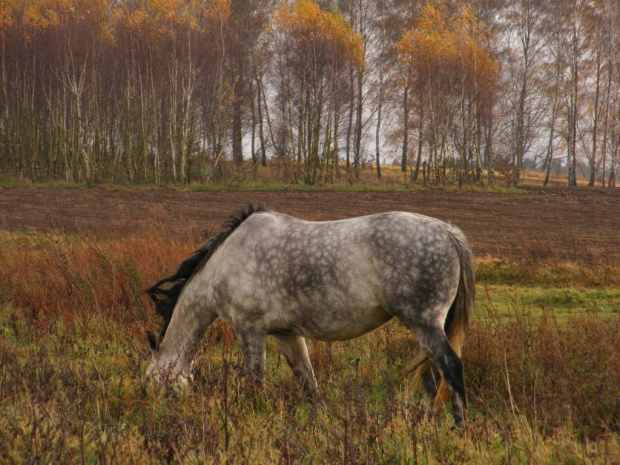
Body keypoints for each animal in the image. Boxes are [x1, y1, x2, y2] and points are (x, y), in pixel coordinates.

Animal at [145, 204, 474, 428]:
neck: (224, 263)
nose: (156, 414)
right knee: (432, 377)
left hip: (424, 324)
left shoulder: (249, 329)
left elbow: (255, 379)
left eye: (153, 382)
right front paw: (321, 423)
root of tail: (448, 232)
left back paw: (459, 429)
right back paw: (424, 424)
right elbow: (308, 382)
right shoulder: (287, 335)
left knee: (450, 367)